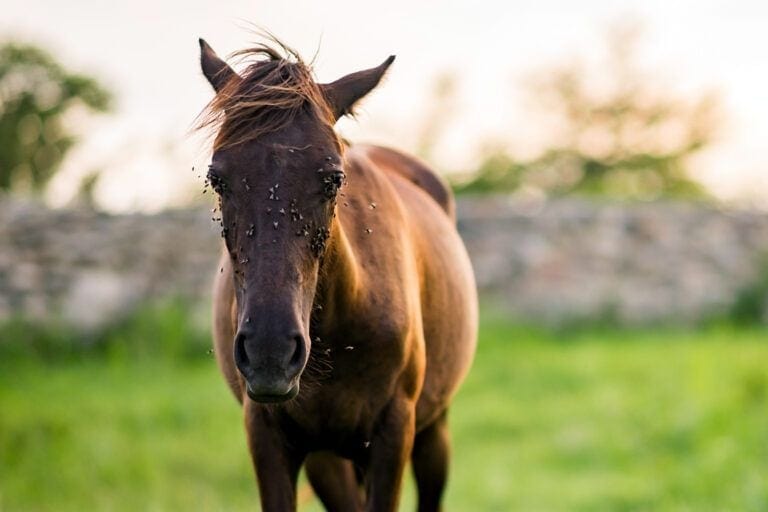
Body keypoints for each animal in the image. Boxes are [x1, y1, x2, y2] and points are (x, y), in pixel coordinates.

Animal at [198, 35, 478, 512]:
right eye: (218, 178)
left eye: (332, 178)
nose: (270, 353)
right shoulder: (270, 437)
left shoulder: (393, 433)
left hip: (433, 429)